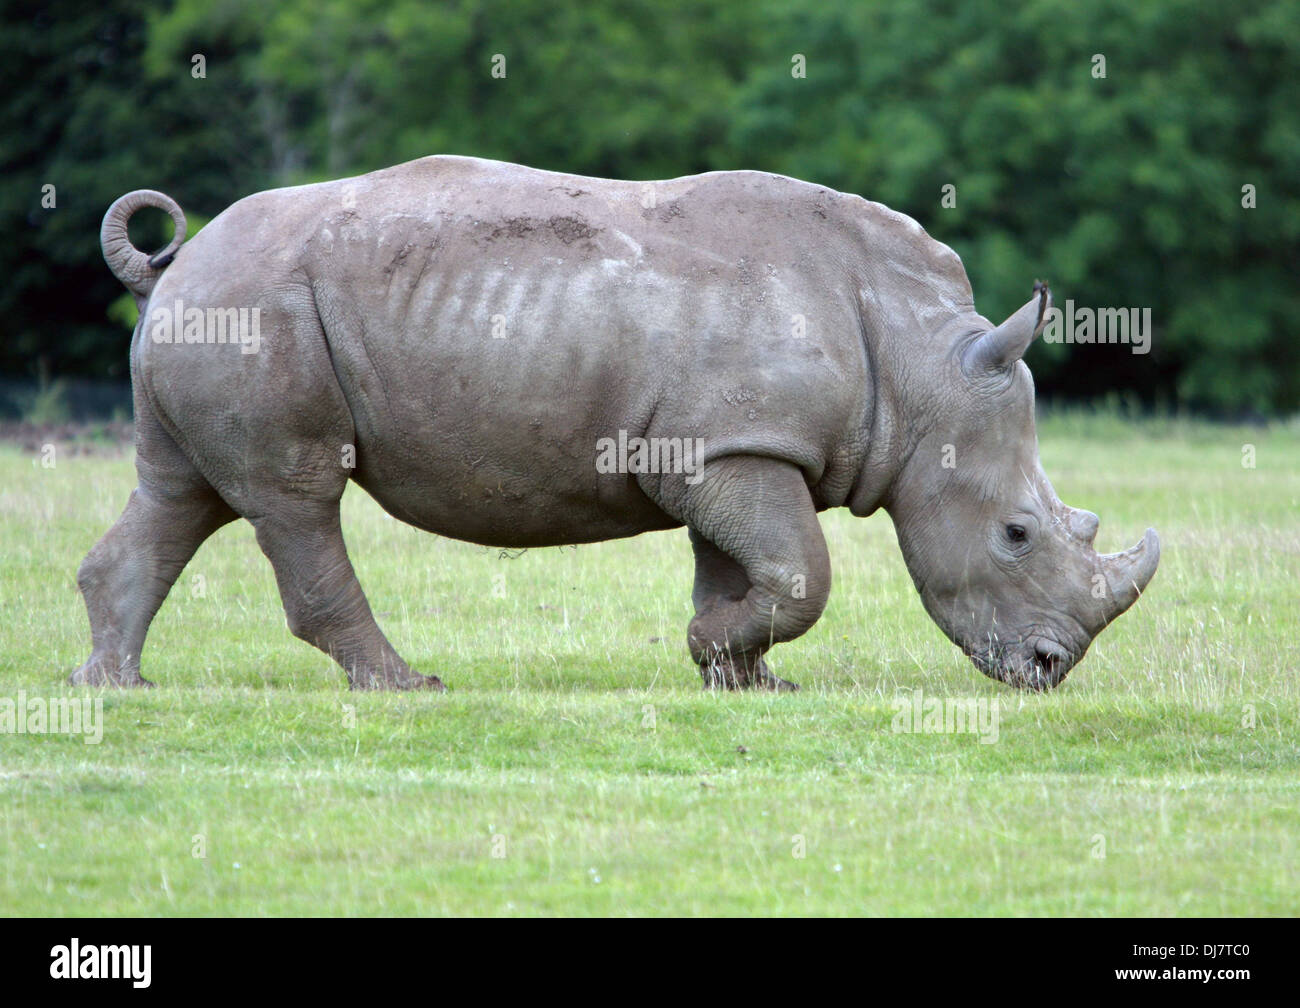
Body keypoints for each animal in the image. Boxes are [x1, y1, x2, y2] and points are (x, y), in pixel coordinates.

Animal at [76, 155, 1159, 691]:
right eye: (1015, 534)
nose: (1049, 671)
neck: (920, 361)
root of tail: (177, 264)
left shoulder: (735, 444)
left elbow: (752, 570)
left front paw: (740, 676)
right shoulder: (733, 447)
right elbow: (801, 575)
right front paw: (713, 653)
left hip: (222, 313)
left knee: (184, 493)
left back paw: (111, 688)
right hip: (260, 307)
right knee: (296, 496)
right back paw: (405, 687)